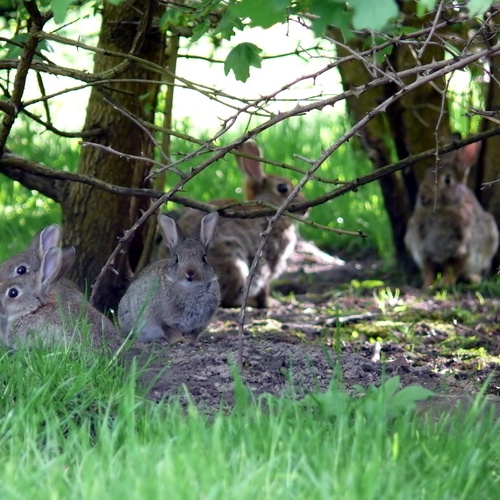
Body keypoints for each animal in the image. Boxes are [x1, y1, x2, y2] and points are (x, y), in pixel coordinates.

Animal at [118, 211, 220, 344]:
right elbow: (170, 330)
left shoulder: (199, 324)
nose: (190, 272)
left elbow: (193, 333)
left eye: (203, 258)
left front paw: (190, 341)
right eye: (177, 258)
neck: (191, 288)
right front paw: (179, 340)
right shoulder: (165, 319)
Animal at [172, 139, 306, 306]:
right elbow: (264, 286)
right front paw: (270, 303)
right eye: (282, 188)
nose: (306, 208)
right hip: (233, 262)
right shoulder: (267, 258)